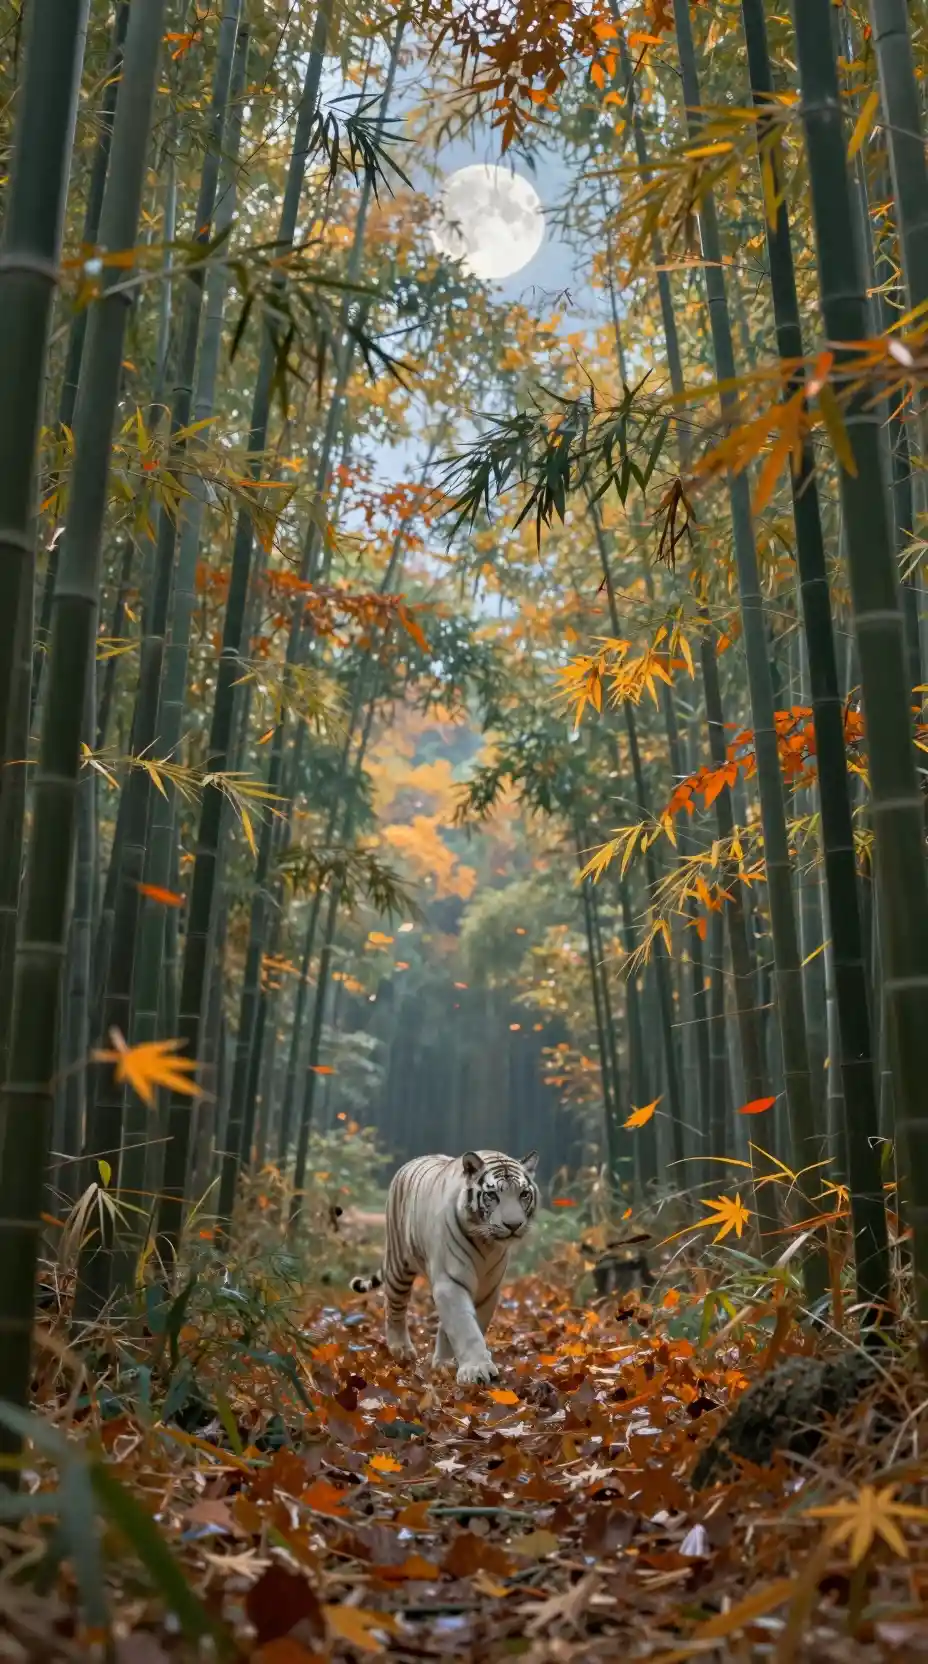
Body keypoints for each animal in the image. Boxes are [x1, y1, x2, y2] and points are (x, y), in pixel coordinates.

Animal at [349, 1149, 539, 1384]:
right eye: (492, 1195)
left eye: (523, 1194)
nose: (513, 1225)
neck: (486, 1243)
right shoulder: (450, 1281)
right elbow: (465, 1326)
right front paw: (477, 1370)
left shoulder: (487, 1289)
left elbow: (467, 1325)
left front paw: (445, 1364)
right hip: (398, 1265)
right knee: (394, 1307)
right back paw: (400, 1349)